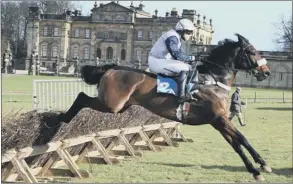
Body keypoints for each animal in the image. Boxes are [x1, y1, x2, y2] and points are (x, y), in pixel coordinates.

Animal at [57, 33, 272, 180]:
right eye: (252, 52)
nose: (266, 71)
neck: (214, 80)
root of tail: (111, 68)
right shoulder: (220, 118)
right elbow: (242, 138)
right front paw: (261, 166)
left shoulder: (217, 121)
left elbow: (237, 144)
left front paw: (257, 168)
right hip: (112, 104)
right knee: (82, 97)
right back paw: (62, 118)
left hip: (119, 106)